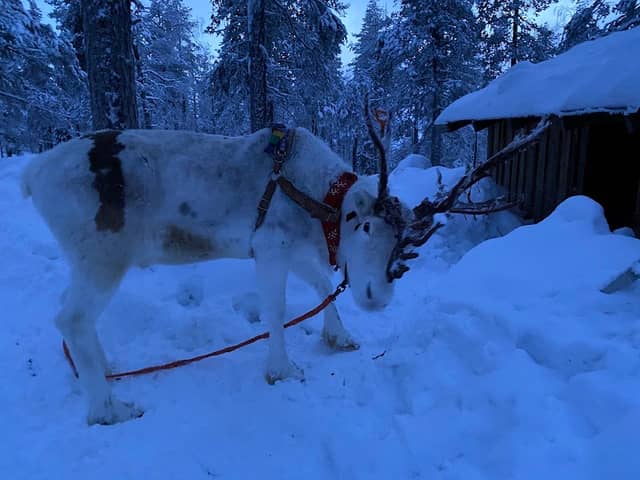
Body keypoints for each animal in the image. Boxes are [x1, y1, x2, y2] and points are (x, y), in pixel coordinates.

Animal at [21, 99, 549, 425]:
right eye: (365, 227)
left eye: (405, 246)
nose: (377, 299)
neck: (320, 201)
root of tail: (33, 173)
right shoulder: (271, 247)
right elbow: (276, 310)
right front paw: (282, 369)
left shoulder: (297, 250)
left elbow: (321, 285)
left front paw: (340, 337)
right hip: (104, 255)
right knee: (70, 317)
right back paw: (108, 408)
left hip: (89, 259)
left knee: (74, 316)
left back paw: (104, 368)